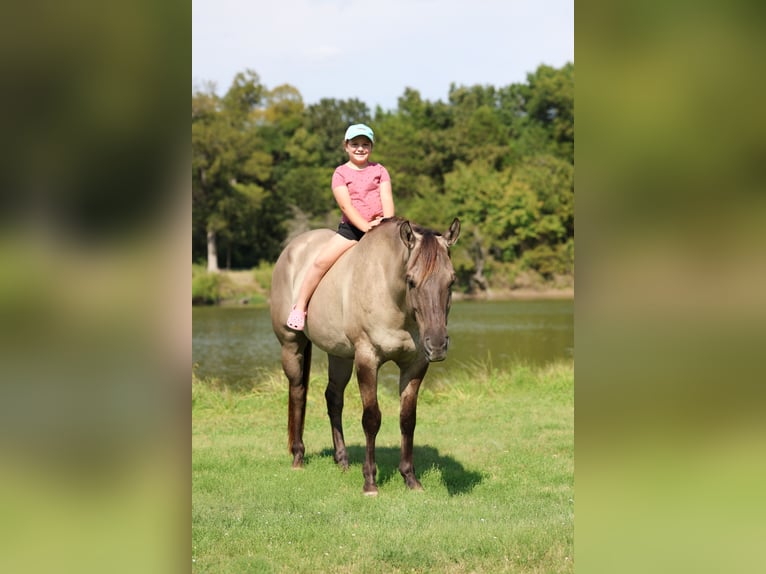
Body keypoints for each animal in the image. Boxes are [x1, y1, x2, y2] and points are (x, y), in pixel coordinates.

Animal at [270, 217, 460, 495]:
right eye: (411, 280)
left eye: (451, 281)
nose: (436, 345)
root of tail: (291, 250)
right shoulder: (367, 359)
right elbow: (371, 418)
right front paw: (370, 482)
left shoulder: (414, 365)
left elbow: (407, 419)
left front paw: (410, 478)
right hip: (292, 345)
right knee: (297, 392)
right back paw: (298, 456)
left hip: (338, 354)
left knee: (333, 398)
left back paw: (342, 460)